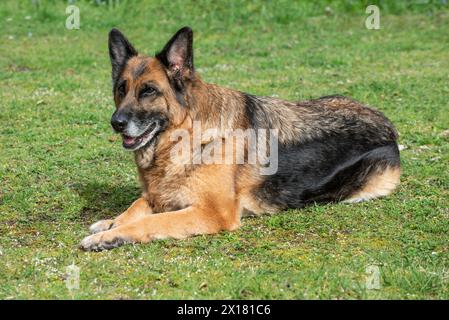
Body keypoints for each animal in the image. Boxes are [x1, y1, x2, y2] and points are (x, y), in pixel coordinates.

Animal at [79, 26, 400, 250]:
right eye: (121, 89)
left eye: (148, 91)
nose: (116, 123)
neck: (186, 136)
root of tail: (387, 123)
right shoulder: (158, 195)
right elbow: (135, 207)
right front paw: (110, 224)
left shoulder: (213, 212)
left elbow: (150, 220)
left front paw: (110, 236)